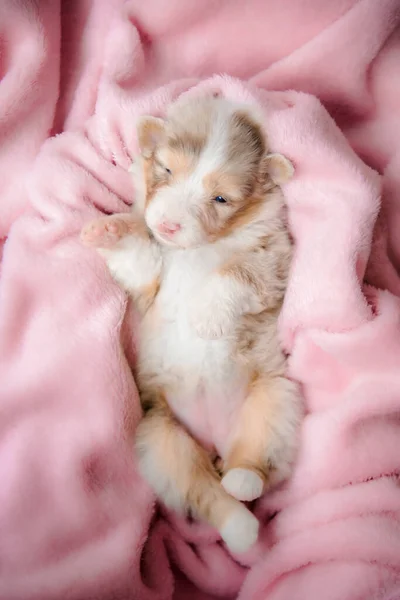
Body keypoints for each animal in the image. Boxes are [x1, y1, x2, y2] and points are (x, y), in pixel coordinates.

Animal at [79, 97, 302, 552]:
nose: (168, 225)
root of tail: (217, 443)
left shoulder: (273, 258)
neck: (198, 247)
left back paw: (244, 482)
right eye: (165, 170)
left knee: (255, 455)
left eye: (220, 198)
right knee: (201, 489)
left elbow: (237, 273)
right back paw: (239, 526)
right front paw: (108, 230)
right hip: (158, 438)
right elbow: (138, 258)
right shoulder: (151, 277)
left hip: (275, 399)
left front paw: (207, 317)